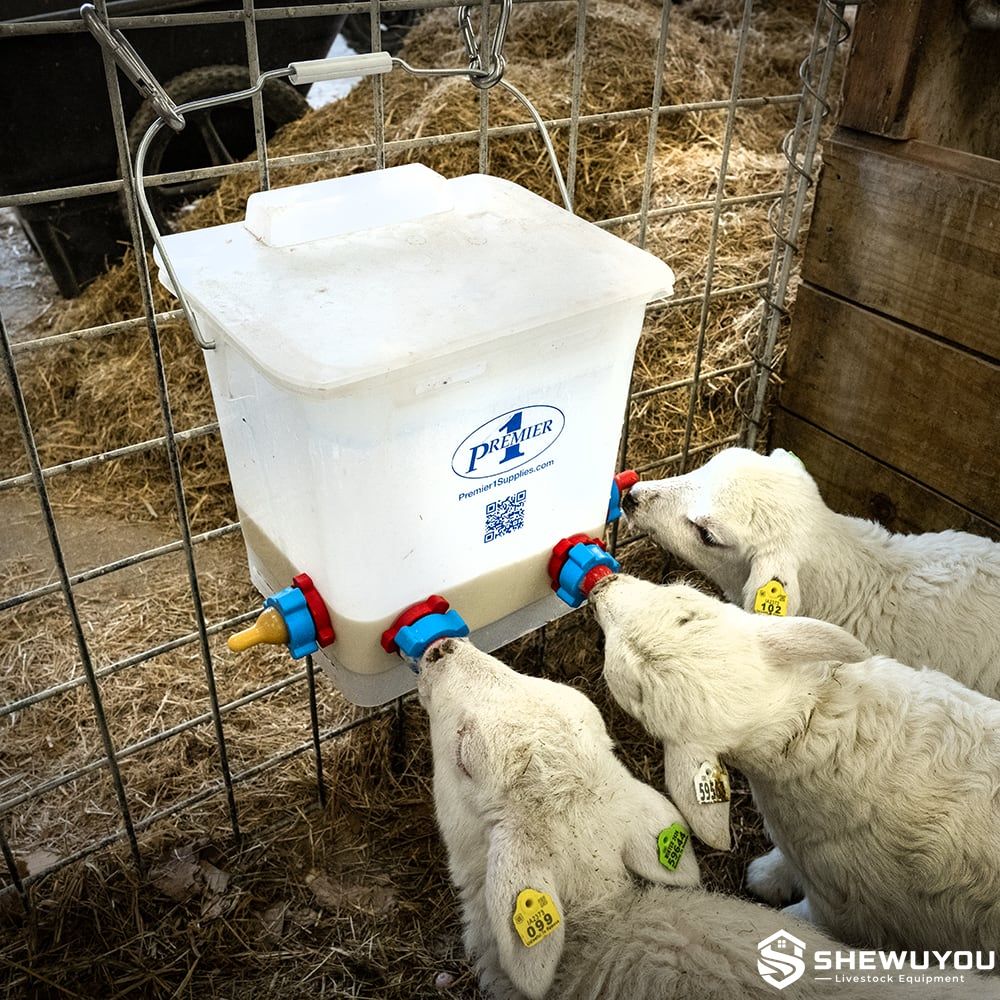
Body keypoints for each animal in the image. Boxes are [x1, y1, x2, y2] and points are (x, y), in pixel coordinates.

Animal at [587, 572, 1000, 959]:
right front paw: (767, 877)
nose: (601, 587)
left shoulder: (843, 907)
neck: (808, 727)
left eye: (686, 616)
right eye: (636, 689)